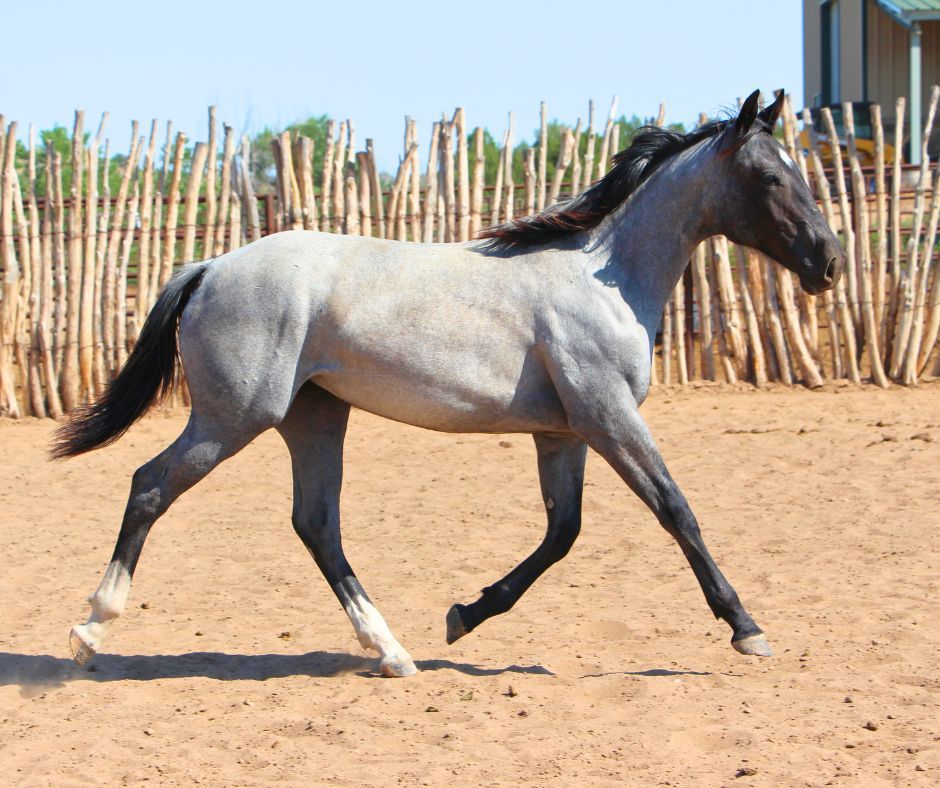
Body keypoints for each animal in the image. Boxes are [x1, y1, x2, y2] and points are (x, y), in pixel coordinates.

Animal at [54, 89, 843, 677]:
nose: (829, 262)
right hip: (233, 416)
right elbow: (676, 511)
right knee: (151, 486)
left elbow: (563, 532)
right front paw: (747, 628)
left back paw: (392, 651)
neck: (604, 273)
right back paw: (90, 632)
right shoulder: (609, 416)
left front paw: (465, 615)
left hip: (313, 417)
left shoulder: (562, 433)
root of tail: (210, 267)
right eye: (771, 178)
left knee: (317, 524)